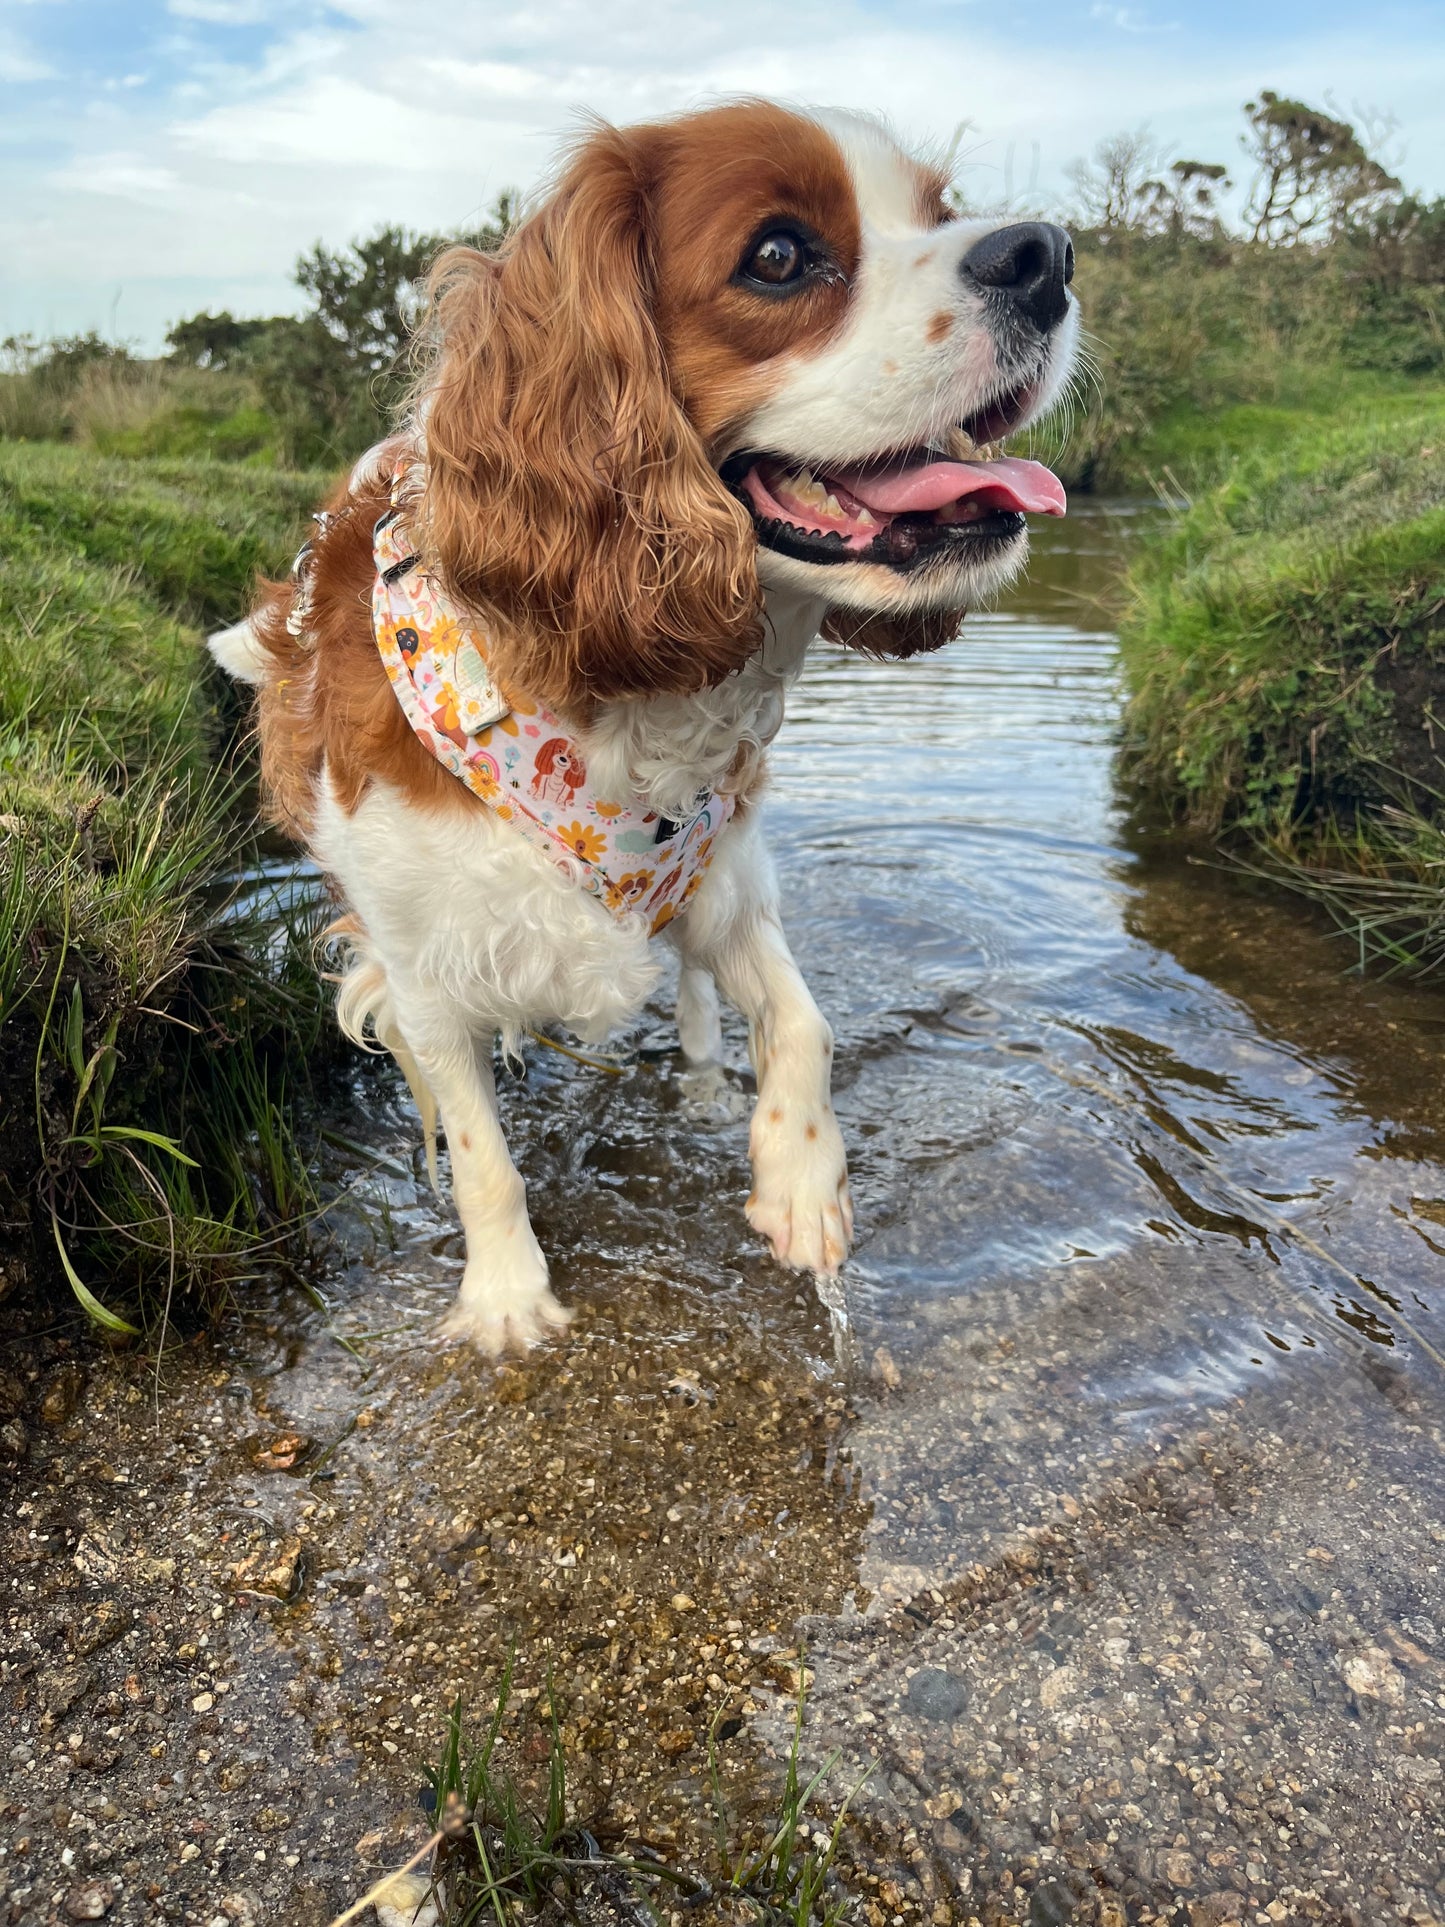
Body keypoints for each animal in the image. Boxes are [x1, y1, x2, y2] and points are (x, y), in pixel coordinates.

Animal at [211, 93, 1078, 1356]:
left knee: (704, 1008)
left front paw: (800, 1183)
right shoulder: (421, 971)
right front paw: (507, 1296)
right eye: (777, 256)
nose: (1046, 254)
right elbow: (480, 1149)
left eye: (937, 212)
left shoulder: (722, 879)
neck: (592, 711)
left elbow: (803, 1022)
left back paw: (709, 1089)